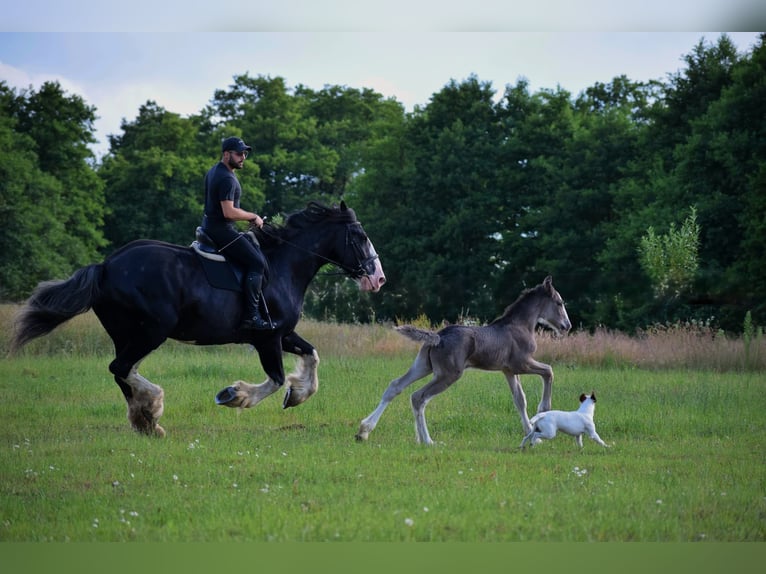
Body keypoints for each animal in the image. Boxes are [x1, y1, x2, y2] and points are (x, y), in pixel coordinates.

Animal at [11, 201, 386, 437]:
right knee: (121, 368)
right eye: (360, 237)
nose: (378, 278)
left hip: (127, 334)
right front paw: (234, 395)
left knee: (123, 372)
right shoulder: (267, 337)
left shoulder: (283, 334)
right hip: (152, 332)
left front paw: (298, 395)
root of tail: (105, 267)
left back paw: (146, 421)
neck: (283, 265)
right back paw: (152, 410)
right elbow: (276, 379)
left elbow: (312, 356)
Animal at [355, 276, 570, 445]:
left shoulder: (508, 370)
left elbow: (520, 400)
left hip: (423, 366)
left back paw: (364, 431)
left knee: (396, 386)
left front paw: (531, 434)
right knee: (418, 397)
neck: (520, 326)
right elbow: (549, 371)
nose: (567, 325)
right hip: (449, 374)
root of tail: (438, 336)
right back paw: (428, 441)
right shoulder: (522, 363)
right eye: (559, 303)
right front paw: (543, 411)